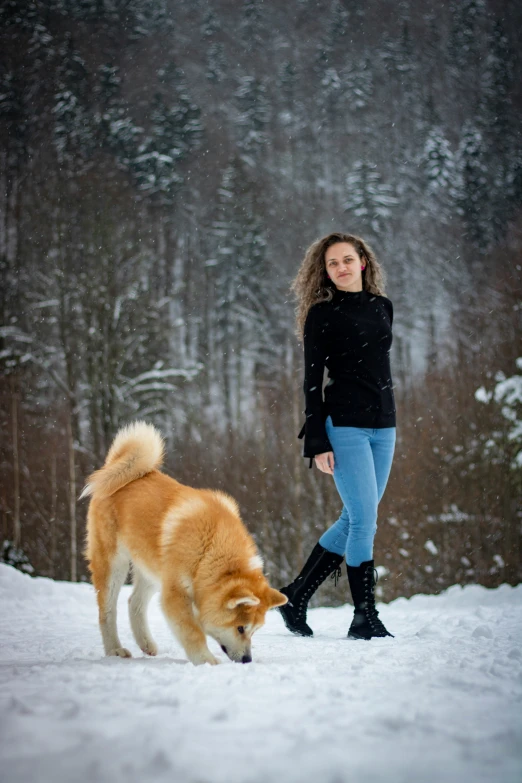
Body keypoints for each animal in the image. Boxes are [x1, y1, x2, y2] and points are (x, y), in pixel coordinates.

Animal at [82, 422, 286, 668]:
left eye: (254, 630)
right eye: (240, 628)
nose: (247, 660)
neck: (210, 549)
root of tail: (116, 466)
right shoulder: (175, 595)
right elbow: (192, 632)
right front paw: (207, 661)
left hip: (153, 570)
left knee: (134, 602)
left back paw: (146, 644)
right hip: (114, 564)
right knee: (107, 610)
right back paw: (114, 649)